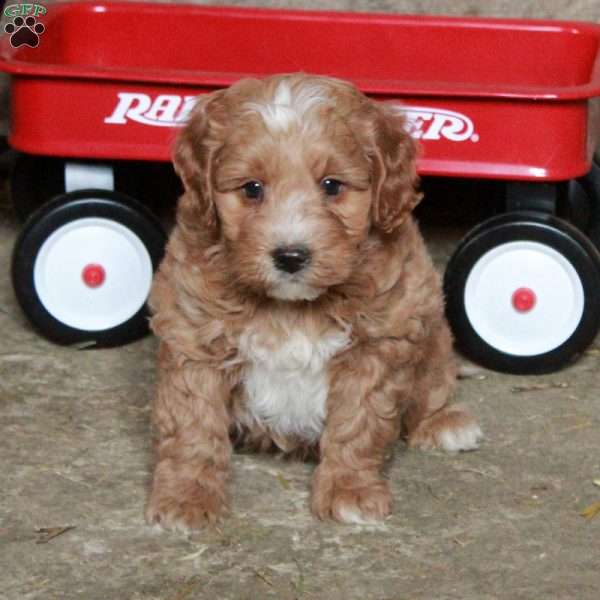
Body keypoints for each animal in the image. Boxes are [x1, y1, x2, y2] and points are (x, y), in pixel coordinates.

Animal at [146, 72, 482, 528]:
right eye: (252, 189)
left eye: (332, 186)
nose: (290, 256)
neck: (291, 308)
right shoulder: (193, 337)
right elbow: (193, 425)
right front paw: (187, 495)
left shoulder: (379, 342)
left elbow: (358, 423)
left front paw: (349, 491)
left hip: (431, 335)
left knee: (434, 386)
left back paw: (444, 422)